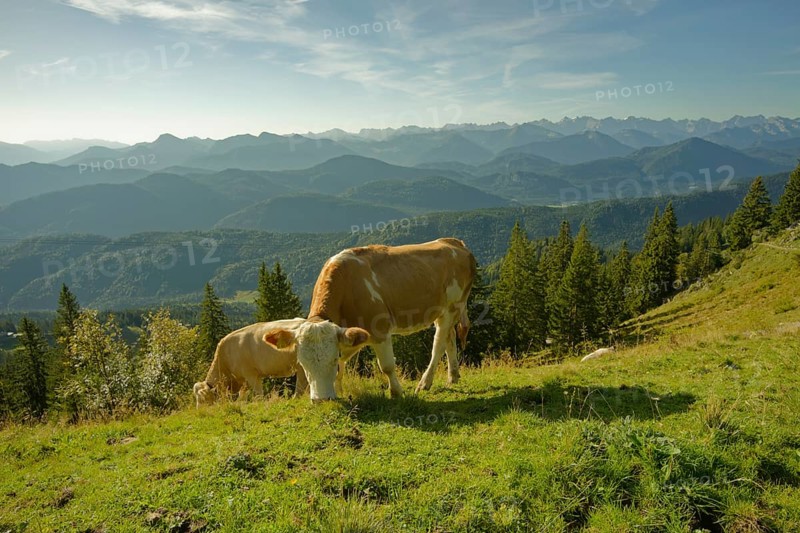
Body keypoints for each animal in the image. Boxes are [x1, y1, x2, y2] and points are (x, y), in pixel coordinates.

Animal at [261, 238, 477, 401]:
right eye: (302, 363)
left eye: (331, 360)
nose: (321, 400)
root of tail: (454, 242)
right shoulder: (350, 333)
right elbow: (344, 364)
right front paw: (339, 390)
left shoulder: (380, 328)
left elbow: (387, 366)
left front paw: (396, 392)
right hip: (443, 310)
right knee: (449, 338)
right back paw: (453, 376)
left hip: (453, 305)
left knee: (439, 343)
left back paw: (425, 383)